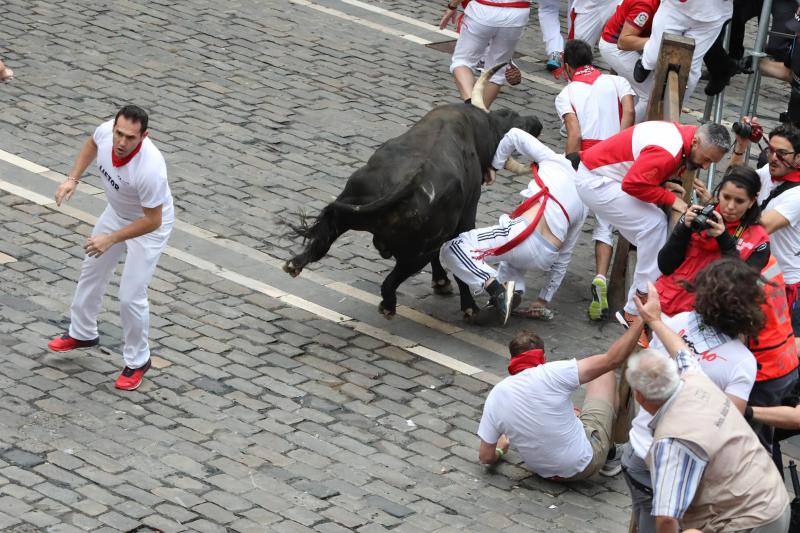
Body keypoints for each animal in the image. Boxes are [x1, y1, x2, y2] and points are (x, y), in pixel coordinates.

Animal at [284, 96, 540, 316]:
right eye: (511, 114)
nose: (537, 123)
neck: (475, 127)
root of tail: (410, 181)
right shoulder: (467, 215)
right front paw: (466, 304)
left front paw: (441, 282)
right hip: (417, 253)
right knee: (390, 282)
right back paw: (389, 306)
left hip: (347, 211)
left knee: (322, 243)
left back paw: (294, 264)